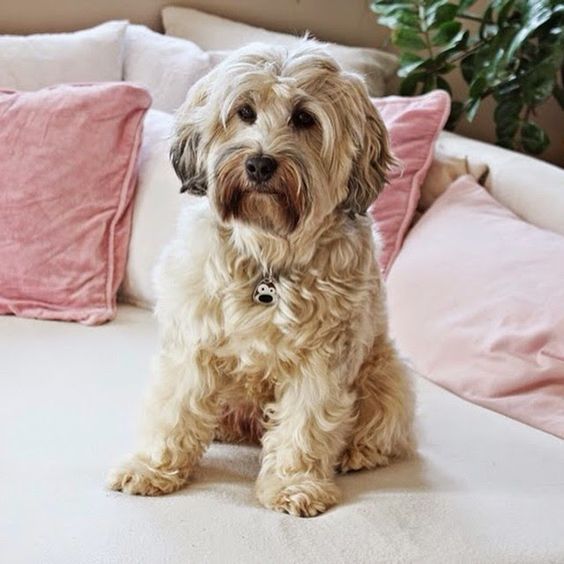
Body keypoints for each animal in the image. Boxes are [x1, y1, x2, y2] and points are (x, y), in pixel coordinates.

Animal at [109, 38, 414, 516]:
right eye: (244, 112)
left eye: (304, 118)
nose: (259, 164)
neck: (267, 257)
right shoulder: (193, 341)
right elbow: (175, 407)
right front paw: (153, 467)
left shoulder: (322, 360)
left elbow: (306, 424)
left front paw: (294, 484)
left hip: (386, 370)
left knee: (383, 424)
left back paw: (357, 452)